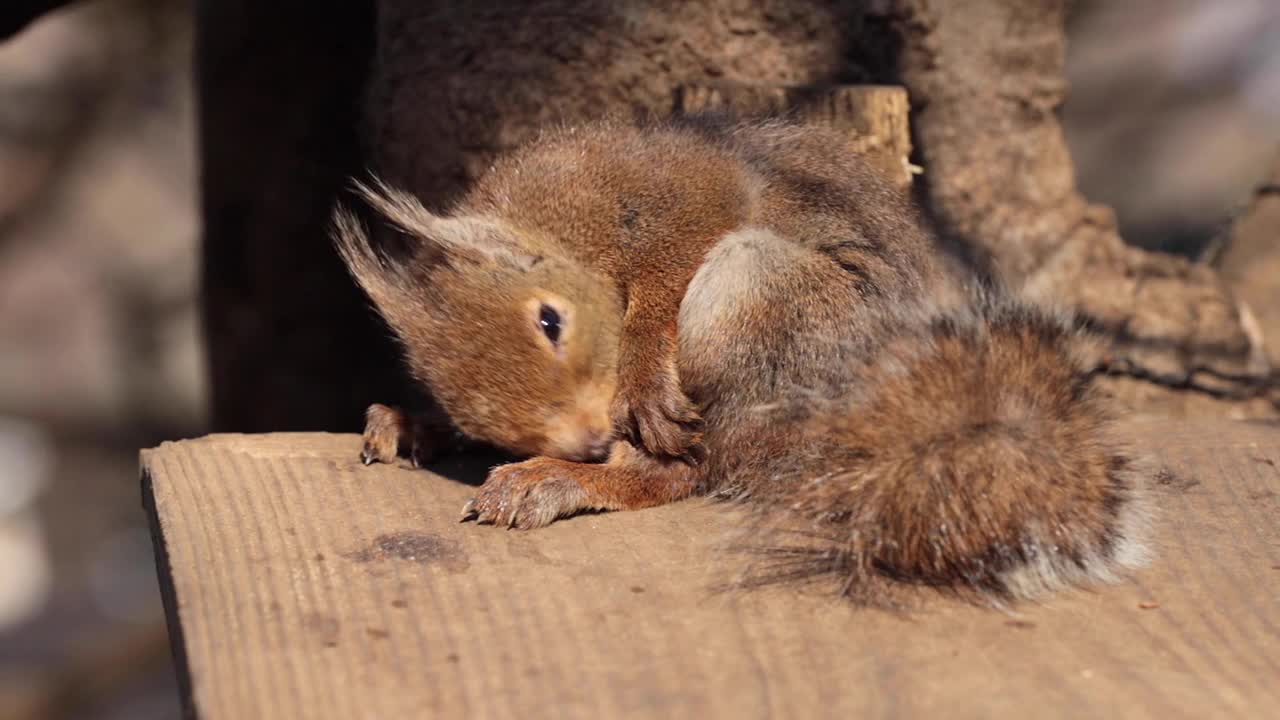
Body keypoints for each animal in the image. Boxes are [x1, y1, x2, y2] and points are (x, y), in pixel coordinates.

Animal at [330, 112, 1152, 602]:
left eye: (550, 320)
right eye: (476, 412)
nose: (589, 440)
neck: (558, 226)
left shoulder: (666, 191)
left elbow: (679, 257)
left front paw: (641, 373)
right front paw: (412, 421)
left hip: (765, 302)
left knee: (692, 471)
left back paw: (564, 481)